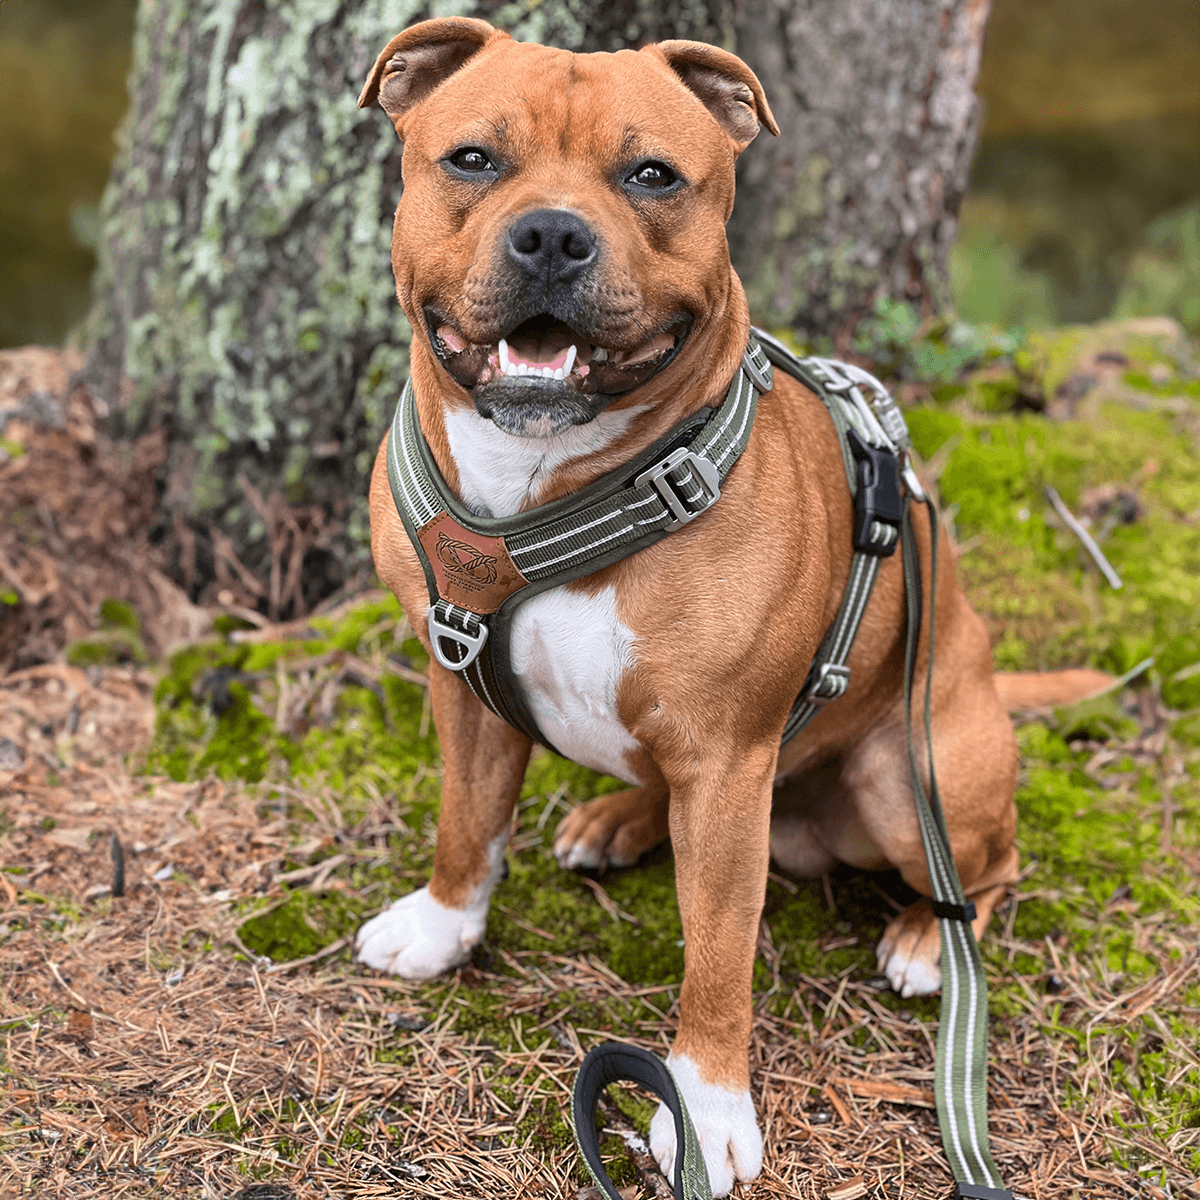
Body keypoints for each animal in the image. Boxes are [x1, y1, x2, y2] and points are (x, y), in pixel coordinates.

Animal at [352, 18, 1104, 1190]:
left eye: (653, 176)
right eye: (472, 159)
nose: (553, 236)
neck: (554, 490)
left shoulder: (724, 762)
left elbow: (715, 952)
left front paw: (703, 1112)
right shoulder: (460, 685)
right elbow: (466, 822)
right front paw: (442, 927)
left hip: (911, 773)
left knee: (987, 863)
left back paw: (928, 941)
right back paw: (614, 819)